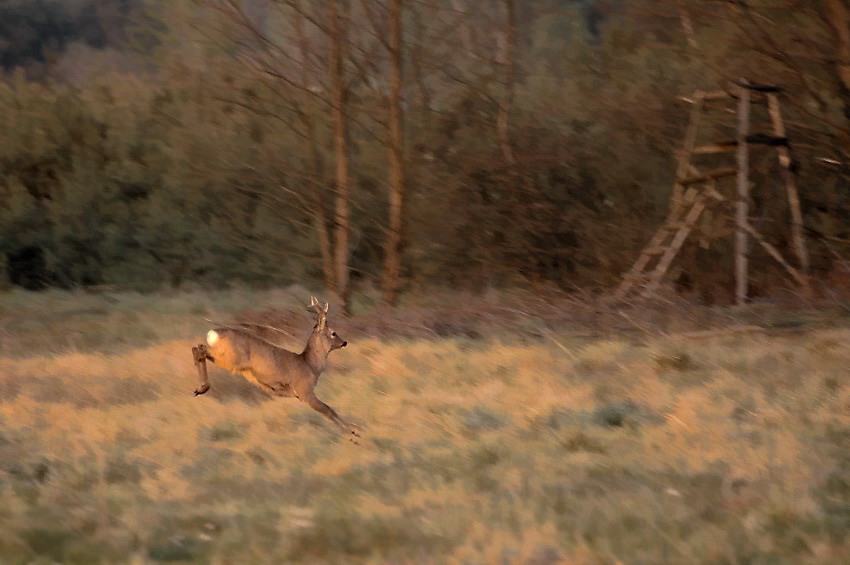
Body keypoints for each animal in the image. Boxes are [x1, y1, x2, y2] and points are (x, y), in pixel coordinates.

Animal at [190, 298, 360, 438]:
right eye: (333, 333)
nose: (344, 342)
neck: (310, 365)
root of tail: (213, 333)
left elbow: (330, 409)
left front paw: (354, 431)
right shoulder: (305, 391)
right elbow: (328, 410)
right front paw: (352, 434)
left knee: (197, 347)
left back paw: (199, 389)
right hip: (232, 359)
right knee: (200, 349)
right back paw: (202, 387)